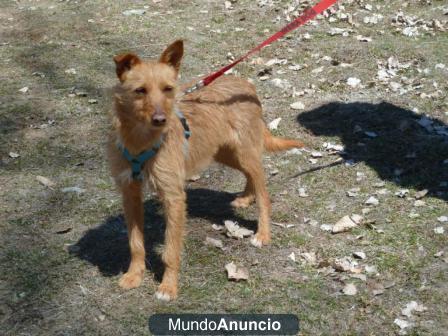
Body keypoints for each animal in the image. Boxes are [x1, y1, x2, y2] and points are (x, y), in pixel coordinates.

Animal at [107, 40, 304, 302]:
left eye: (168, 89)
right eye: (140, 90)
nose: (160, 119)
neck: (140, 141)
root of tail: (246, 85)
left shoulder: (173, 197)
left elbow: (170, 250)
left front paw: (168, 287)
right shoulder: (130, 194)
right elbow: (135, 243)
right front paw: (134, 275)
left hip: (245, 153)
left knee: (264, 194)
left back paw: (263, 233)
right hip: (225, 153)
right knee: (251, 176)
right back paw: (246, 197)